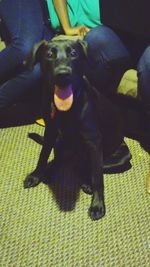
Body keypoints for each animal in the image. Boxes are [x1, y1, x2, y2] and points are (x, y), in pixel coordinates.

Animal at [23, 38, 123, 221]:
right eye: (49, 54)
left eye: (74, 53)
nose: (63, 74)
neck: (67, 109)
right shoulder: (50, 131)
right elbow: (43, 155)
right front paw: (36, 175)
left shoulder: (93, 141)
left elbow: (98, 177)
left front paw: (97, 205)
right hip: (60, 140)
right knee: (61, 158)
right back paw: (49, 172)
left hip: (120, 158)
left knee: (88, 167)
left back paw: (85, 180)